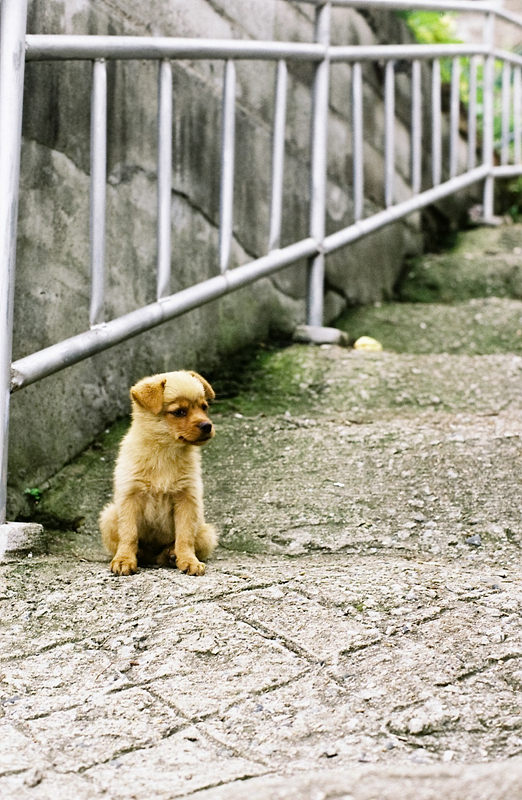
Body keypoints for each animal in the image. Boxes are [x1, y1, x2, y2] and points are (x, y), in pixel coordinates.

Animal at [99, 368, 215, 576]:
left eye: (204, 407)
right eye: (179, 412)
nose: (207, 426)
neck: (164, 452)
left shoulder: (187, 499)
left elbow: (185, 536)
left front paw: (189, 560)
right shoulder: (130, 497)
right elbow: (129, 534)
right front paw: (124, 559)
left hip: (207, 533)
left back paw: (171, 554)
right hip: (109, 515)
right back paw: (140, 553)